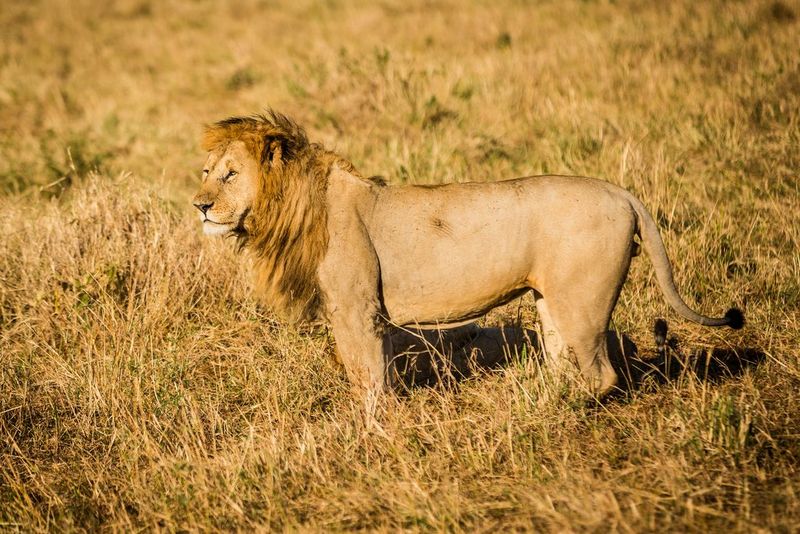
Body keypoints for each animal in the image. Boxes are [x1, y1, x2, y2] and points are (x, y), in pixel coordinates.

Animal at [192, 111, 743, 400]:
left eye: (230, 175)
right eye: (205, 172)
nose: (199, 206)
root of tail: (621, 192)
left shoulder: (357, 310)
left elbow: (369, 378)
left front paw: (370, 432)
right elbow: (367, 371)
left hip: (583, 303)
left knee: (602, 374)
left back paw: (561, 413)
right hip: (550, 302)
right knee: (563, 359)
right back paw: (545, 401)